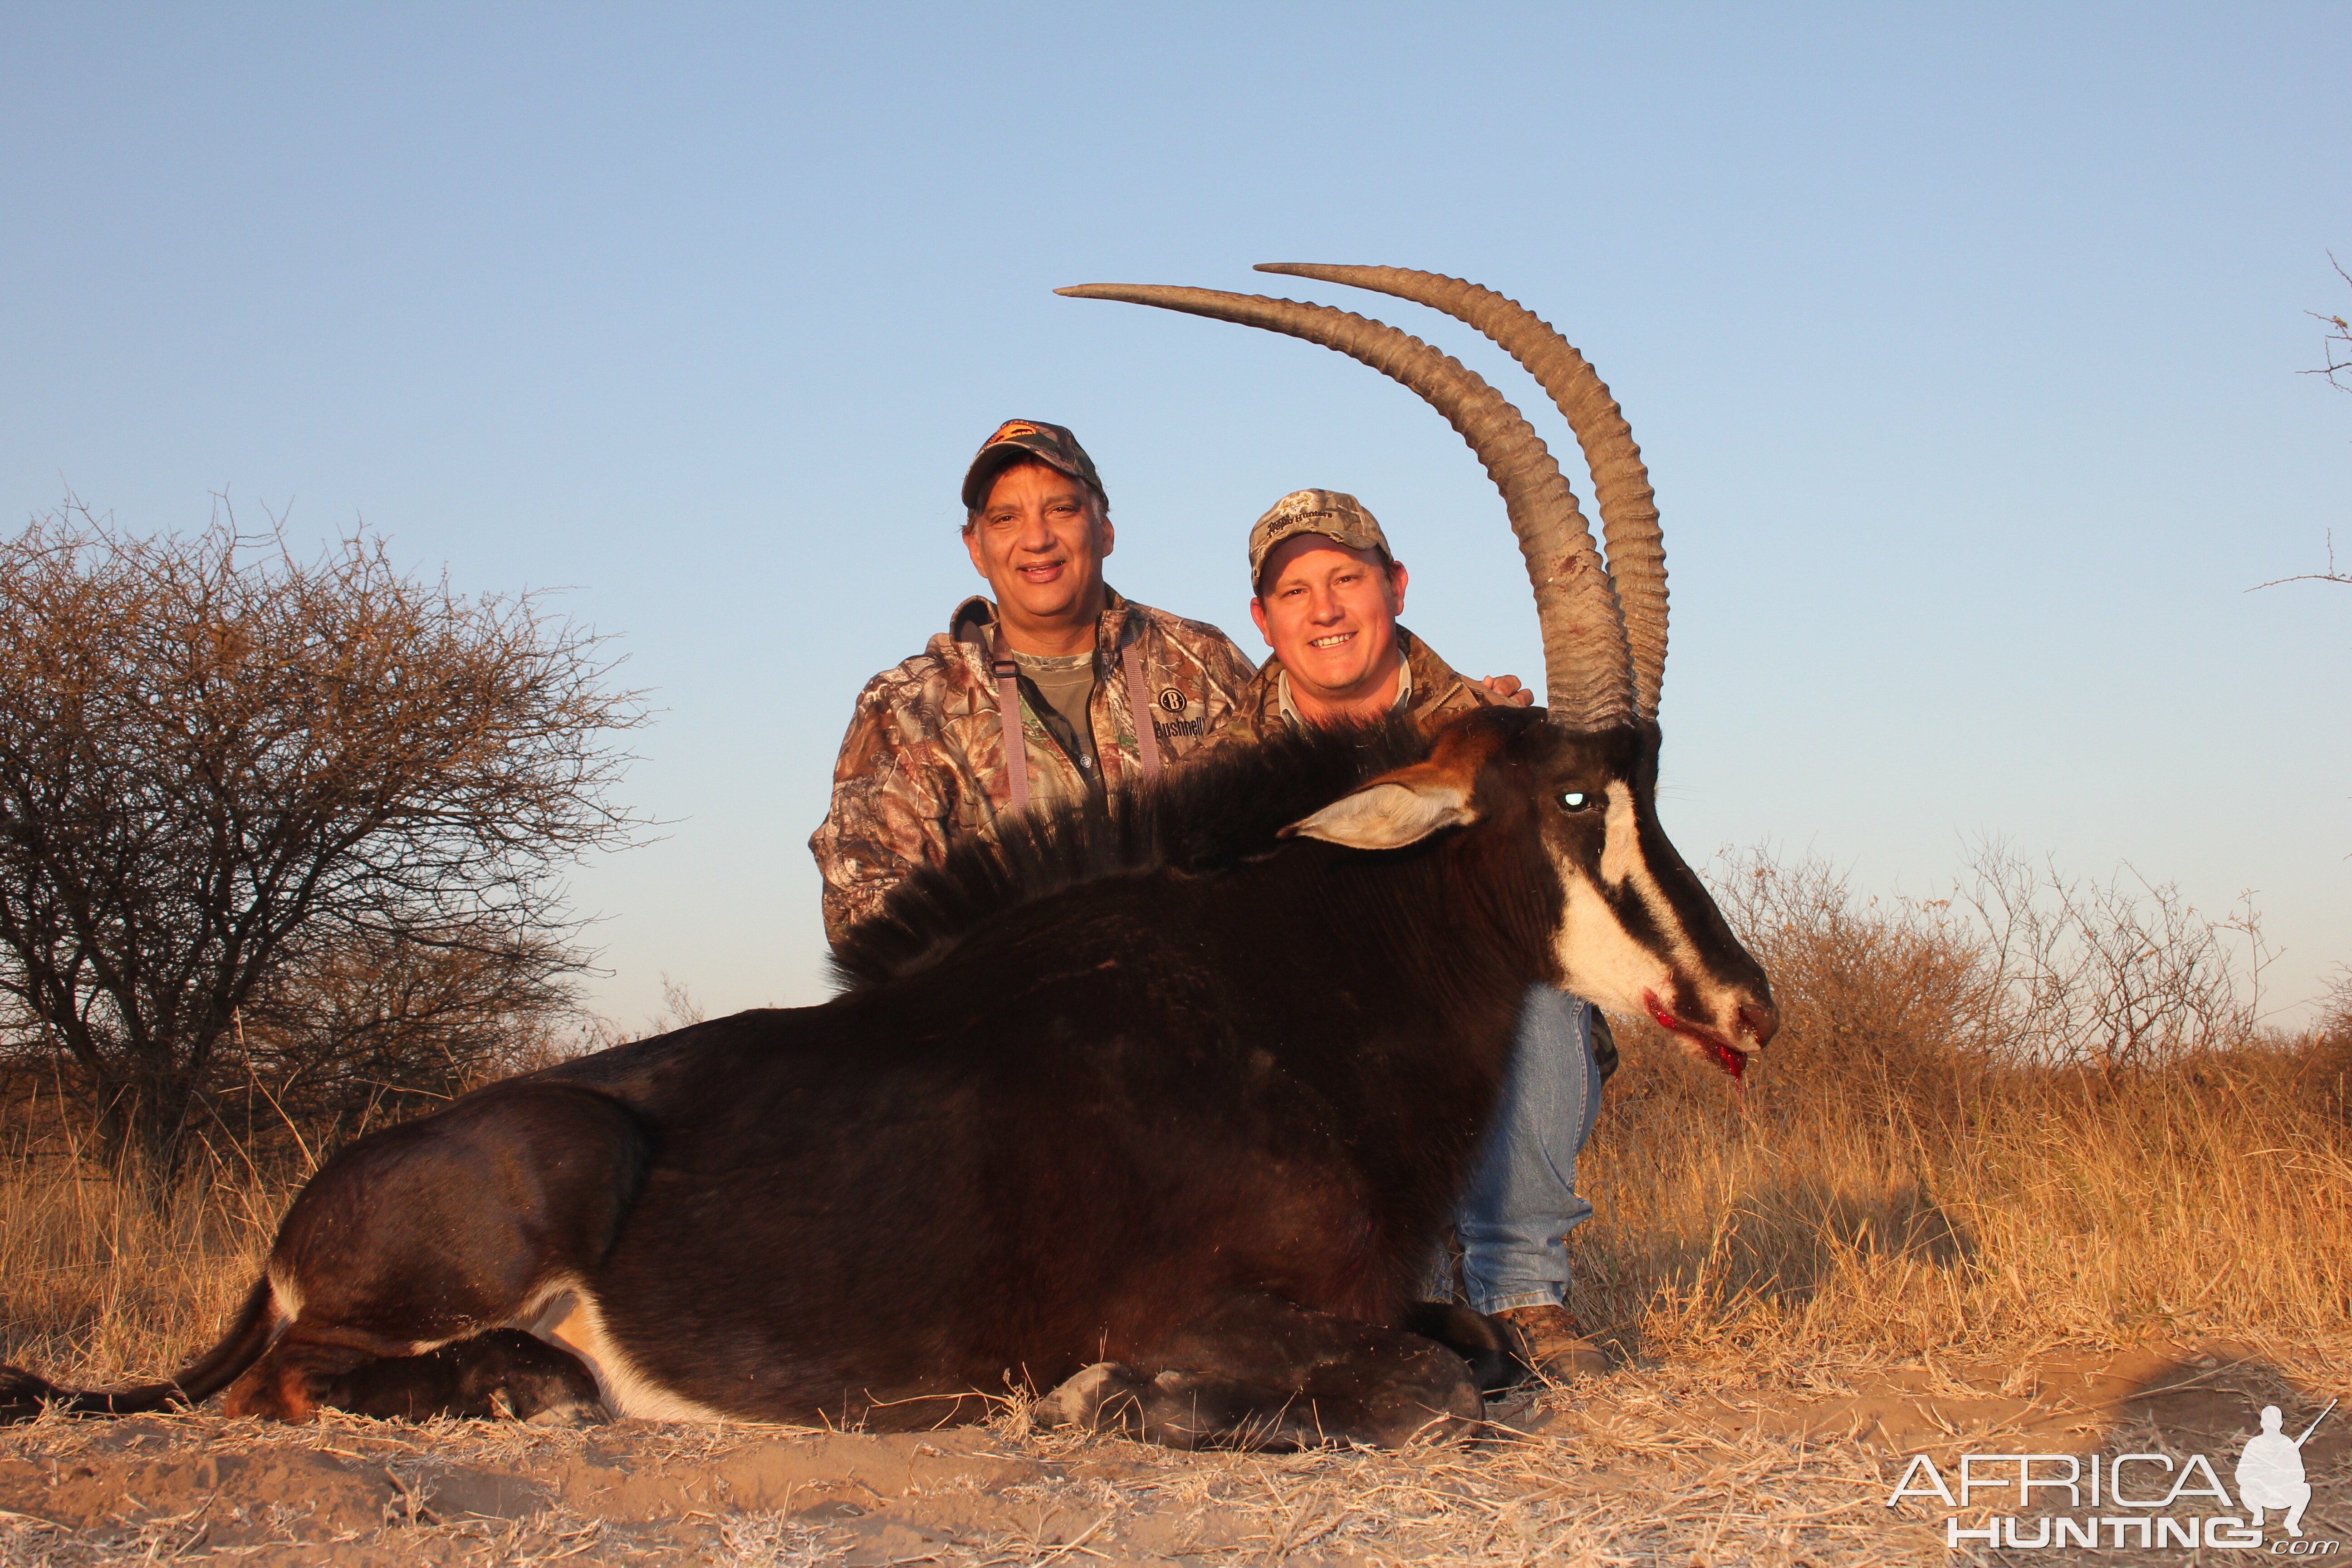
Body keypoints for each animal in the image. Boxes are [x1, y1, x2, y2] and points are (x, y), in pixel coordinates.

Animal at [0, 267, 1769, 1448]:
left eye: (1648, 785)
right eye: (1572, 801)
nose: (1743, 1000)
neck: (1297, 992)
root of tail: (305, 1212)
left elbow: (1480, 1343)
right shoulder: (1229, 1310)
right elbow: (1430, 1385)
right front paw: (1104, 1400)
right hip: (538, 1184)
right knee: (298, 1380)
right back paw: (529, 1384)